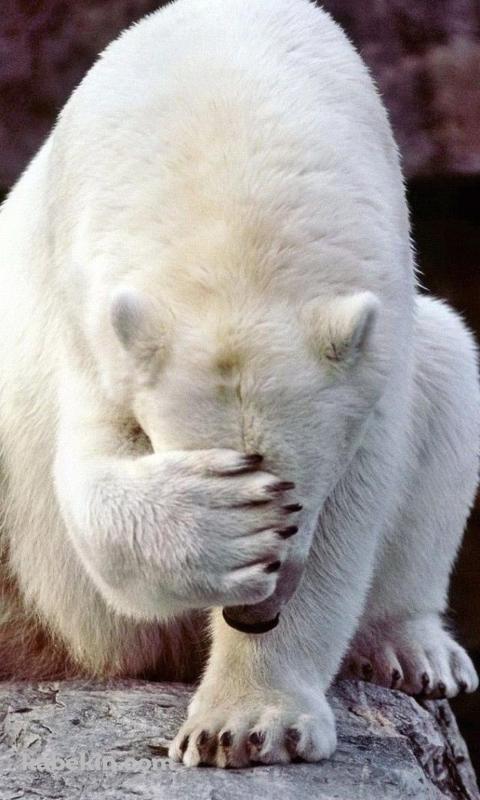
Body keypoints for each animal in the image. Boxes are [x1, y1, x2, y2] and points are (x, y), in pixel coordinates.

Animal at [0, 0, 478, 768]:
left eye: (298, 500)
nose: (255, 614)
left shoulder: (379, 342)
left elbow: (359, 501)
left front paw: (248, 725)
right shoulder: (88, 316)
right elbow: (88, 475)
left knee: (451, 367)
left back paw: (416, 650)